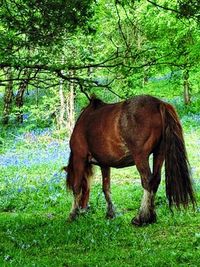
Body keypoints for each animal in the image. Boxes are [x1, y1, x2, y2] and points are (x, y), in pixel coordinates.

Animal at [64, 95, 195, 225]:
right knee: (155, 180)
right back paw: (151, 216)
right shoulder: (104, 164)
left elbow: (76, 187)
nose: (83, 209)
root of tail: (159, 103)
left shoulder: (79, 158)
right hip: (159, 153)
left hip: (140, 157)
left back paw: (141, 217)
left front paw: (72, 214)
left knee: (148, 182)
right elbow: (106, 188)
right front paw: (110, 213)